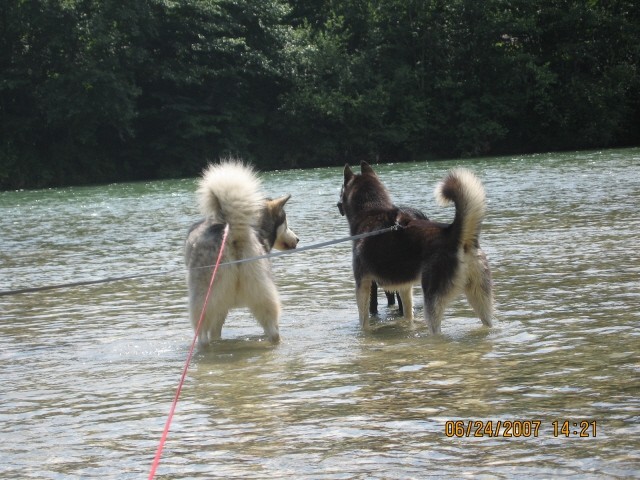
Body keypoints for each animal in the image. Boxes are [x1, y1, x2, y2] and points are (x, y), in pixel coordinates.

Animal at [338, 161, 492, 334]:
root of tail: (453, 233)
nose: (337, 204)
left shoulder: (363, 283)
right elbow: (407, 313)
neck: (371, 211)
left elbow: (363, 320)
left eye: (341, 190)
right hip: (480, 298)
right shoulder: (405, 287)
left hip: (432, 302)